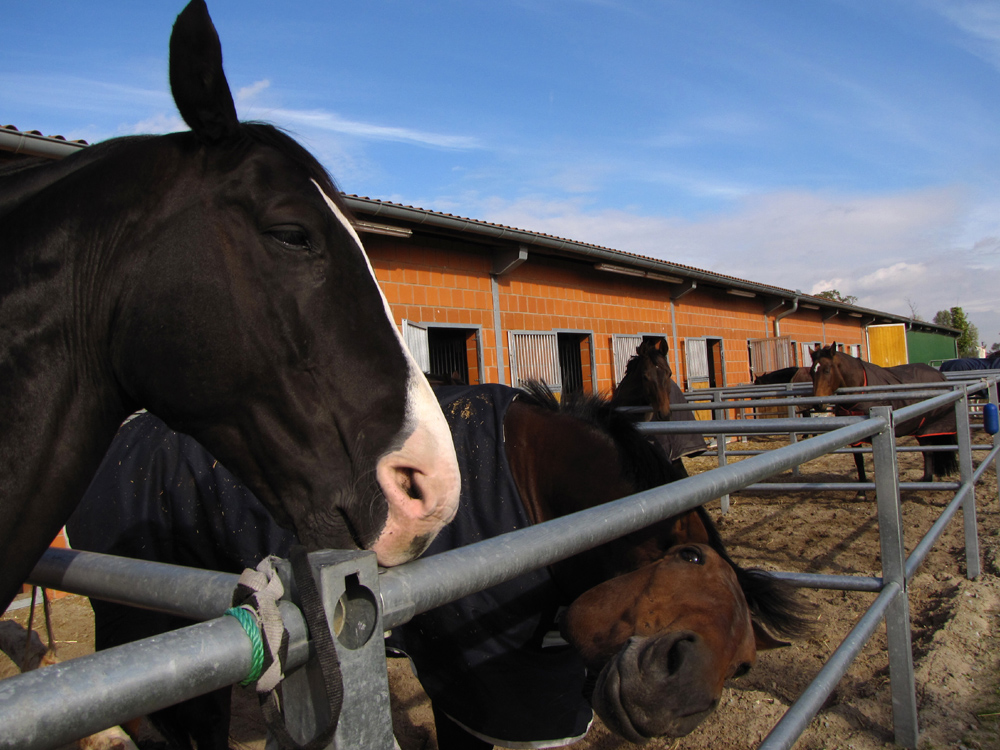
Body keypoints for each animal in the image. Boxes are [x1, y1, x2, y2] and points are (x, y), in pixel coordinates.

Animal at [66, 384, 808, 748]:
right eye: (687, 555)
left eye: (745, 665)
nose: (676, 701)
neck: (526, 486)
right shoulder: (470, 682)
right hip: (139, 624)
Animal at [808, 342, 956, 496]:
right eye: (811, 372)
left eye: (827, 370)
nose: (818, 405)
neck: (861, 387)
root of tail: (940, 375)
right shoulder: (854, 435)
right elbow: (859, 460)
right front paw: (861, 493)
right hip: (920, 426)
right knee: (927, 450)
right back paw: (926, 480)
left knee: (929, 451)